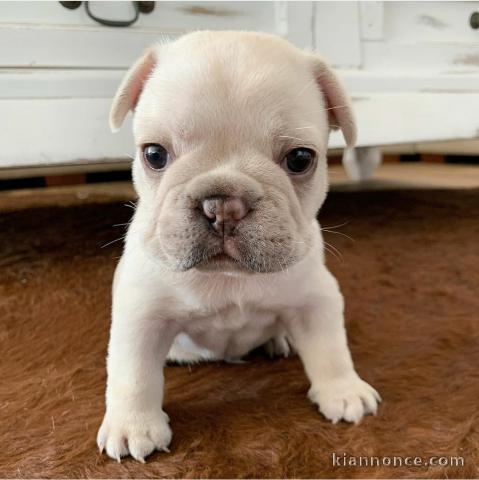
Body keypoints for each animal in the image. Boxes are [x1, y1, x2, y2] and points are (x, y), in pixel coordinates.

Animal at [98, 29, 382, 462]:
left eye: (301, 159)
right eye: (154, 154)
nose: (223, 206)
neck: (229, 278)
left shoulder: (317, 300)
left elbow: (331, 349)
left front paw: (344, 391)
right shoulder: (141, 311)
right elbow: (133, 373)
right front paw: (133, 425)